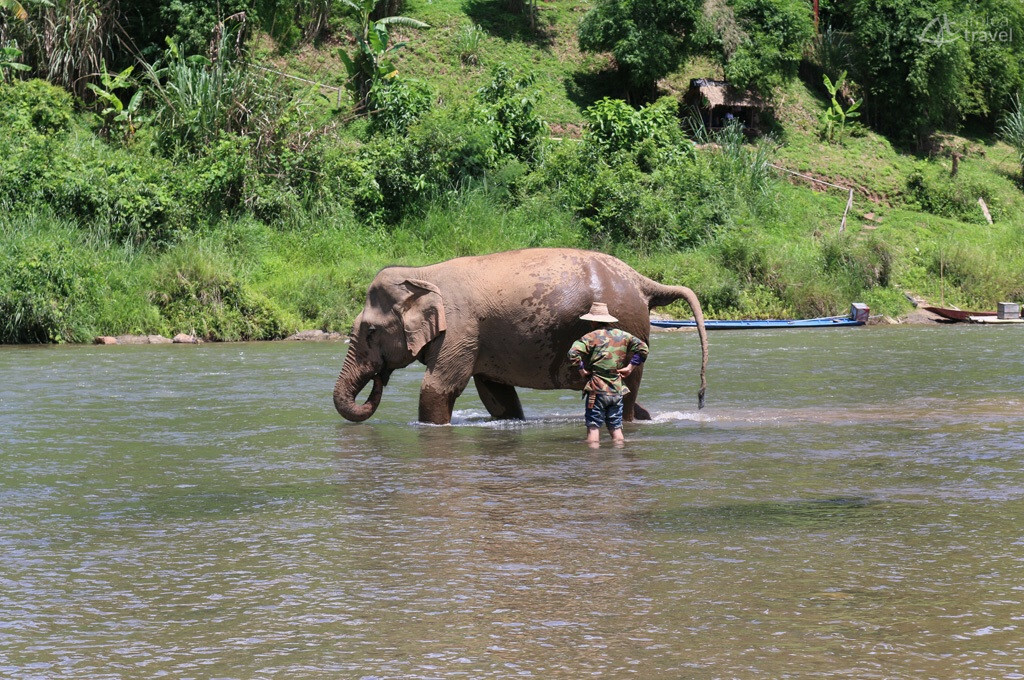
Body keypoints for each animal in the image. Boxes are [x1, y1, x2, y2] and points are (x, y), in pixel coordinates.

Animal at [333, 247, 708, 425]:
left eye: (370, 332)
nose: (379, 377)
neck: (423, 272)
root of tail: (642, 280)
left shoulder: (461, 330)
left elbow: (438, 389)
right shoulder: (479, 340)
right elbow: (497, 396)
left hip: (629, 322)